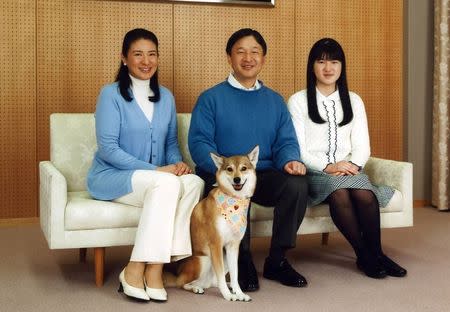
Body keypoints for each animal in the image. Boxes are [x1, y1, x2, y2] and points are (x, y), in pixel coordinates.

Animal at [174, 146, 258, 302]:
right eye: (229, 169)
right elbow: (220, 277)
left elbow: (235, 274)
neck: (233, 201)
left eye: (243, 168)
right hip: (204, 260)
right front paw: (228, 295)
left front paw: (239, 293)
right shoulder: (216, 245)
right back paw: (196, 288)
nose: (237, 179)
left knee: (213, 282)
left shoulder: (232, 247)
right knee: (182, 283)